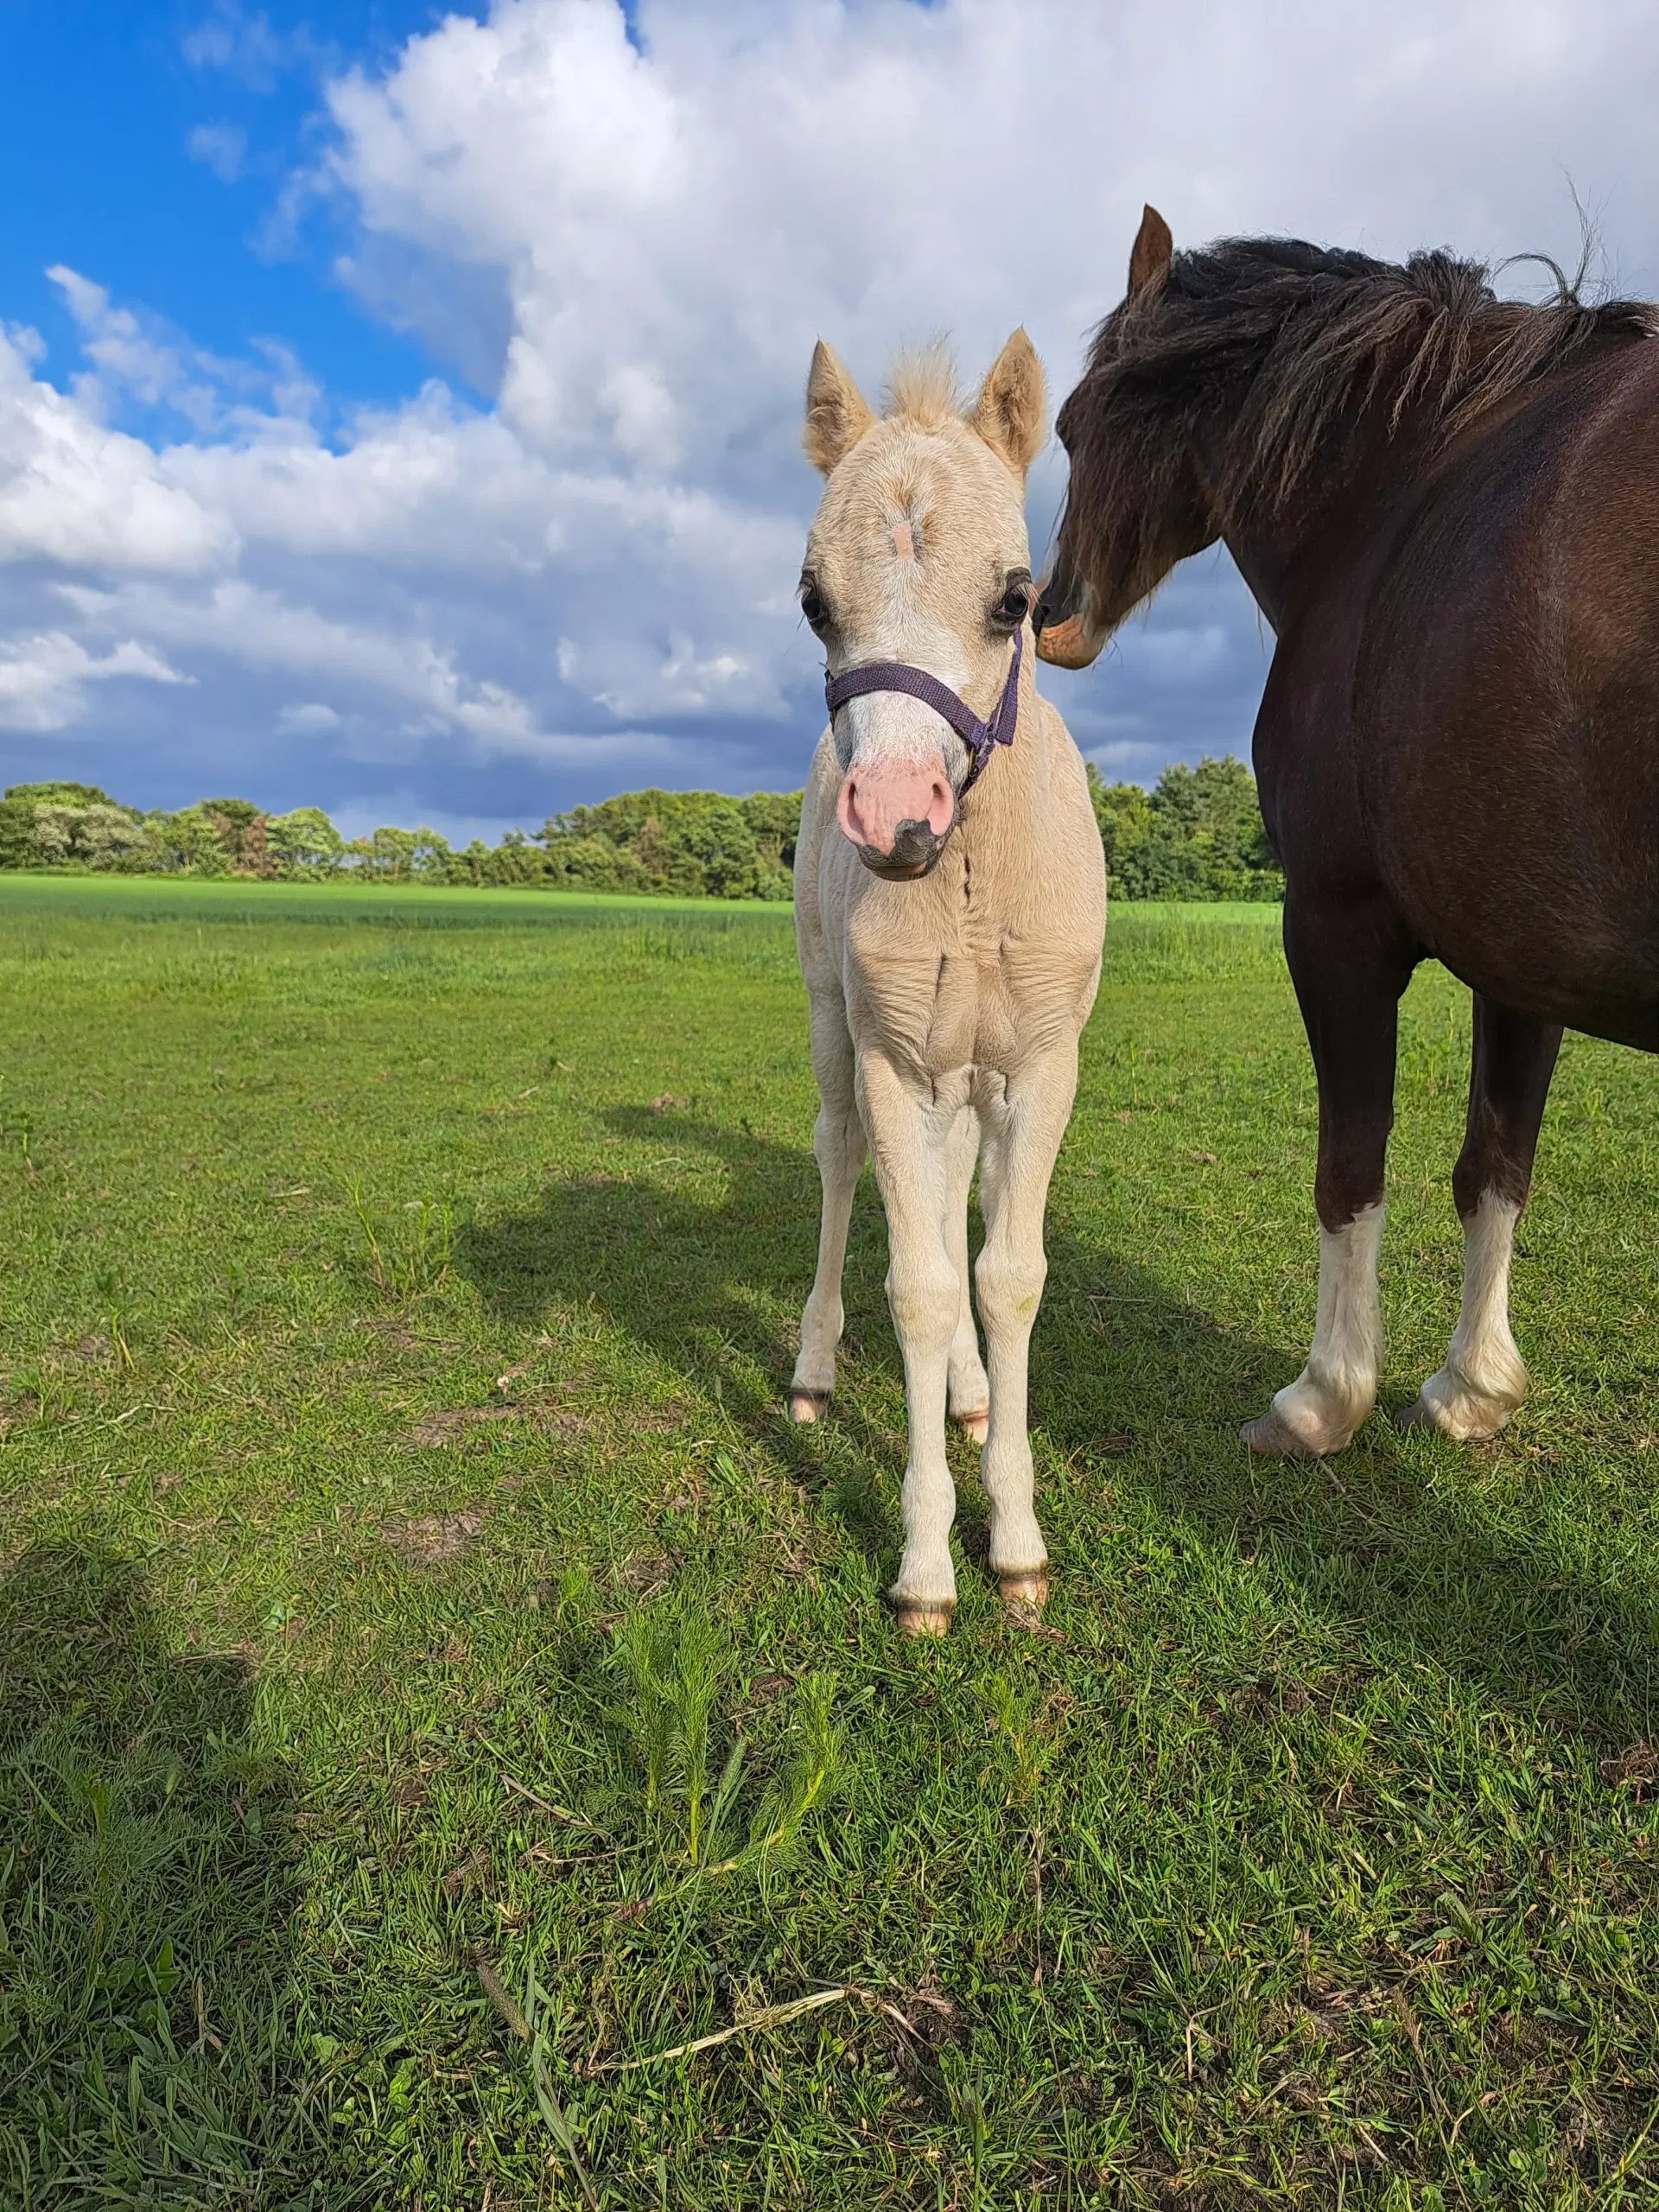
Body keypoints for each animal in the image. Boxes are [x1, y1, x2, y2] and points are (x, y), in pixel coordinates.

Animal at [1039, 203, 1659, 1451]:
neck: (1403, 496)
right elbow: (1493, 1167)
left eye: (1073, 425)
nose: (1042, 611)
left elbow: (1349, 1169)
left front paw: (1324, 1397)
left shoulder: (1333, 924)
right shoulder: (1525, 956)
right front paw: (1471, 1388)